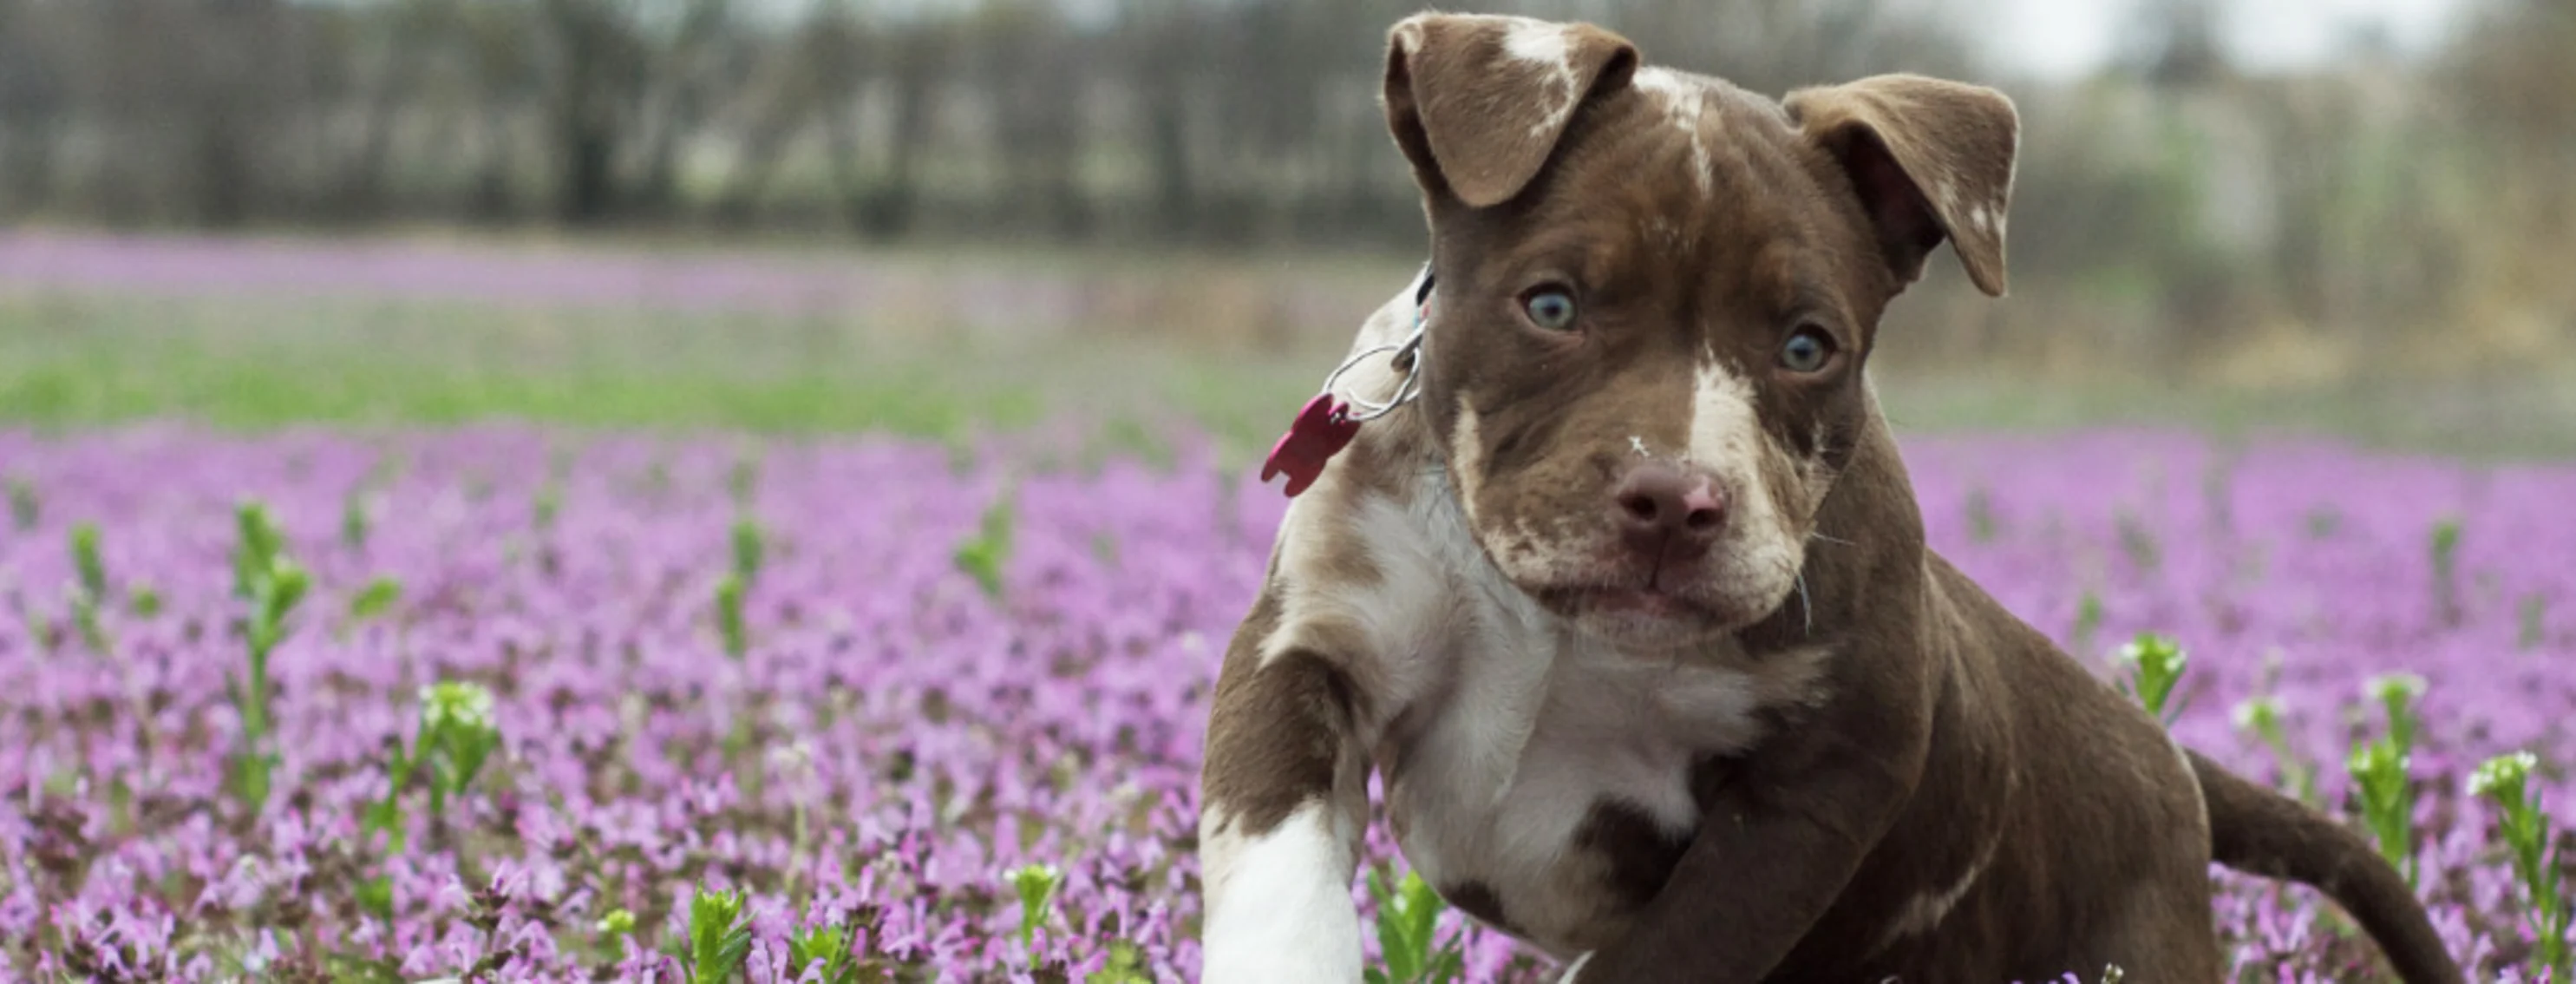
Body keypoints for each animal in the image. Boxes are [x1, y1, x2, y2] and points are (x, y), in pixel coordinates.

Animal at [1195, 10, 2462, 984]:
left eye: (1807, 345)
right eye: (1550, 305)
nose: (1675, 501)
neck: (1558, 628)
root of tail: (2162, 753)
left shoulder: (1826, 780)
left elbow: (1664, 954)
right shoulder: (1308, 648)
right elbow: (1276, 878)